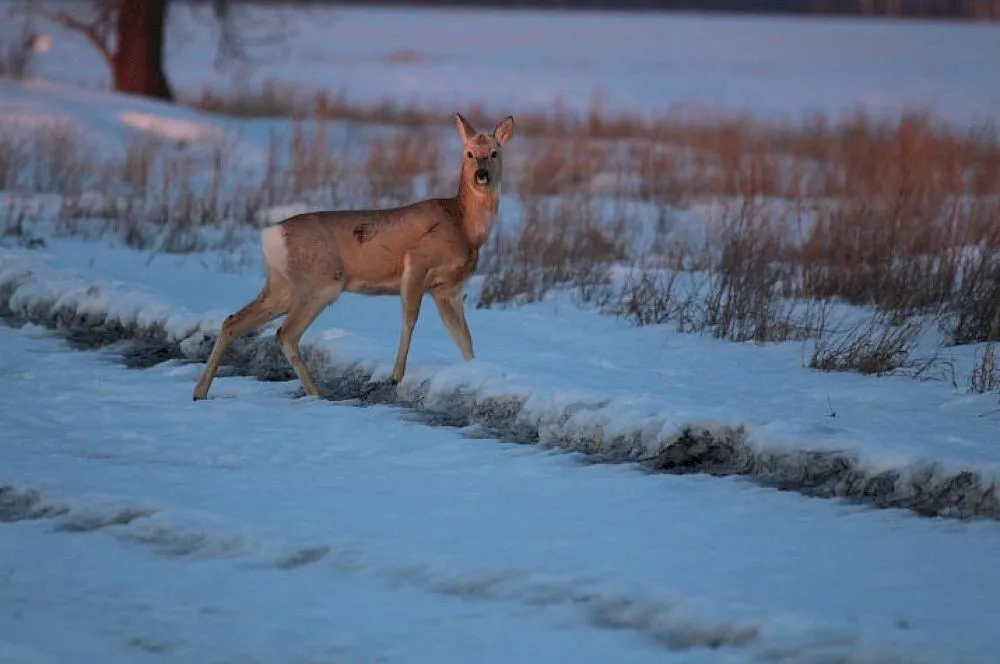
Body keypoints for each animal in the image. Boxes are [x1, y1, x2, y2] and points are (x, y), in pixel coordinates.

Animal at [191, 113, 516, 400]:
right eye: (469, 153)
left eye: (494, 153)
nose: (481, 174)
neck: (463, 225)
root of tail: (271, 235)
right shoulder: (416, 265)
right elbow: (410, 319)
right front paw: (396, 376)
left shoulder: (448, 289)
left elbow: (464, 337)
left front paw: (474, 373)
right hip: (321, 283)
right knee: (285, 333)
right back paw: (317, 394)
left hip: (281, 286)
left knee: (233, 321)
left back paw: (200, 392)